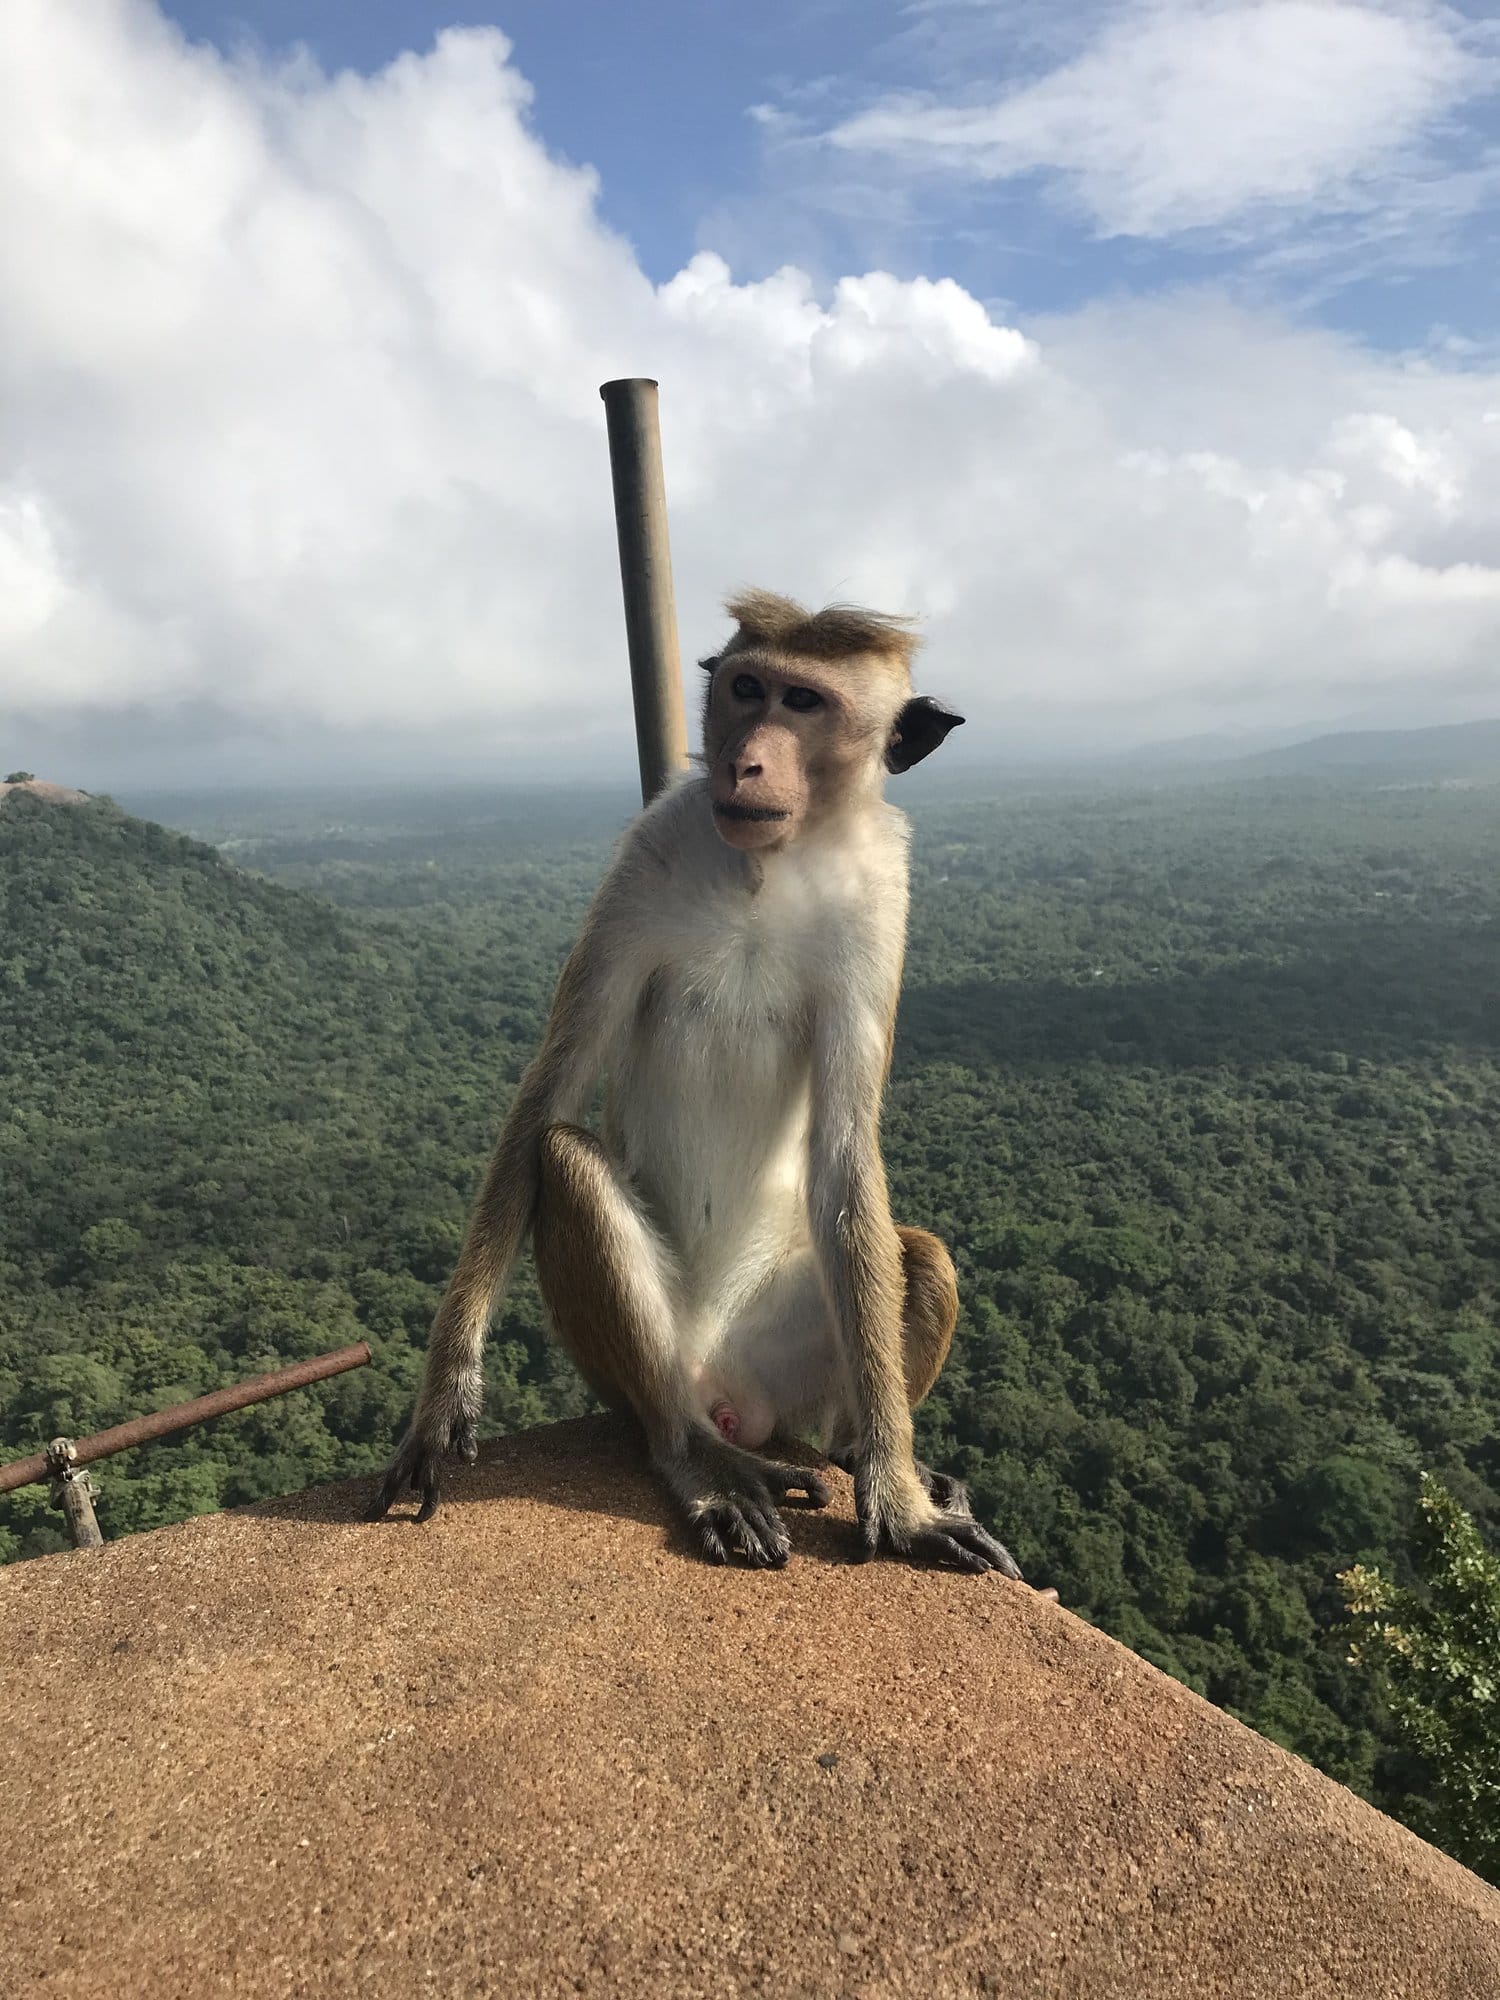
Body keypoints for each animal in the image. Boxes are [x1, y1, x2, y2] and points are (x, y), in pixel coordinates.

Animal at [368, 589, 1024, 1578]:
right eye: (749, 689)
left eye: (805, 702)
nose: (743, 758)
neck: (770, 864)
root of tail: (730, 1396)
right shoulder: (648, 855)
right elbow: (551, 1095)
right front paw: (447, 1392)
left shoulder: (882, 898)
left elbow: (845, 1152)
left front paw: (900, 1501)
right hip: (646, 1360)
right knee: (567, 1162)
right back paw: (696, 1460)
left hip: (788, 1360)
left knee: (920, 1257)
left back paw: (854, 1450)